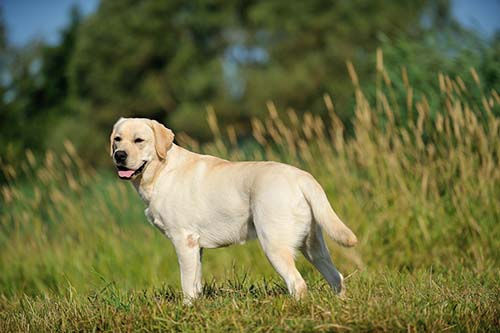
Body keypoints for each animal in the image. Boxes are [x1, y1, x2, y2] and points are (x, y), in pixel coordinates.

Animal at [111, 118, 358, 302]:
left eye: (139, 140)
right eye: (117, 139)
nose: (119, 155)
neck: (162, 170)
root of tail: (301, 176)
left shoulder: (184, 240)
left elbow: (187, 283)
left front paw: (187, 308)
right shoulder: (196, 246)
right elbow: (196, 281)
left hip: (274, 245)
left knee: (298, 284)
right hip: (313, 246)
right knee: (336, 277)